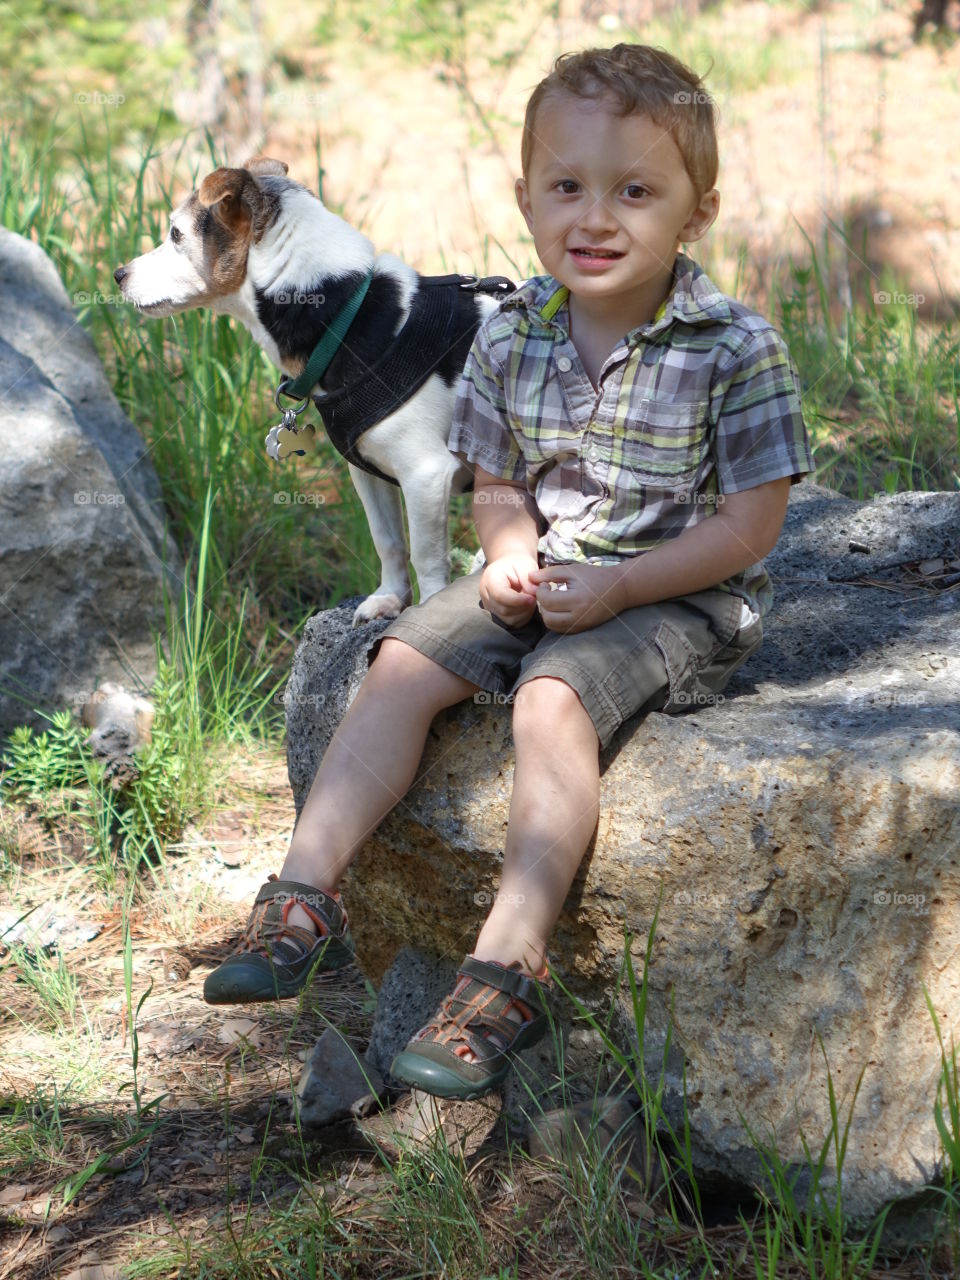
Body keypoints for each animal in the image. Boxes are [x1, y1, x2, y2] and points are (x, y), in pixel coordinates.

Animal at [112, 157, 512, 627]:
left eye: (176, 234)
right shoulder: (368, 475)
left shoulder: (425, 476)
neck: (347, 314)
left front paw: (427, 610)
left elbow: (428, 560)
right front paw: (389, 598)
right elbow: (388, 542)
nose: (118, 275)